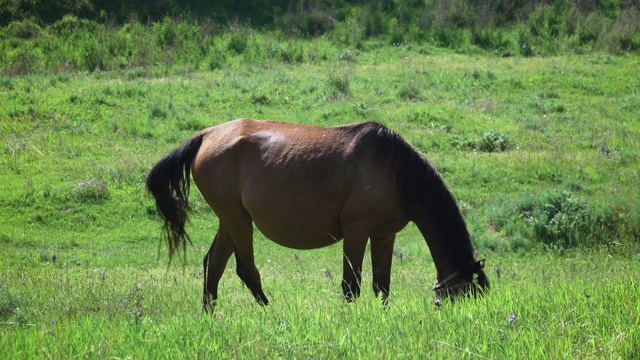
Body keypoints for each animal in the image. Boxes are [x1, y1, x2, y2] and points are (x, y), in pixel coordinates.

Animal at [146, 119, 490, 310]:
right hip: (238, 221)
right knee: (246, 270)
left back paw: (209, 315)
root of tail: (206, 135)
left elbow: (381, 286)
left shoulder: (384, 233)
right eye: (469, 295)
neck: (395, 170)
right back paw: (271, 314)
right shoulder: (356, 231)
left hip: (231, 220)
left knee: (213, 265)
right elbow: (351, 285)